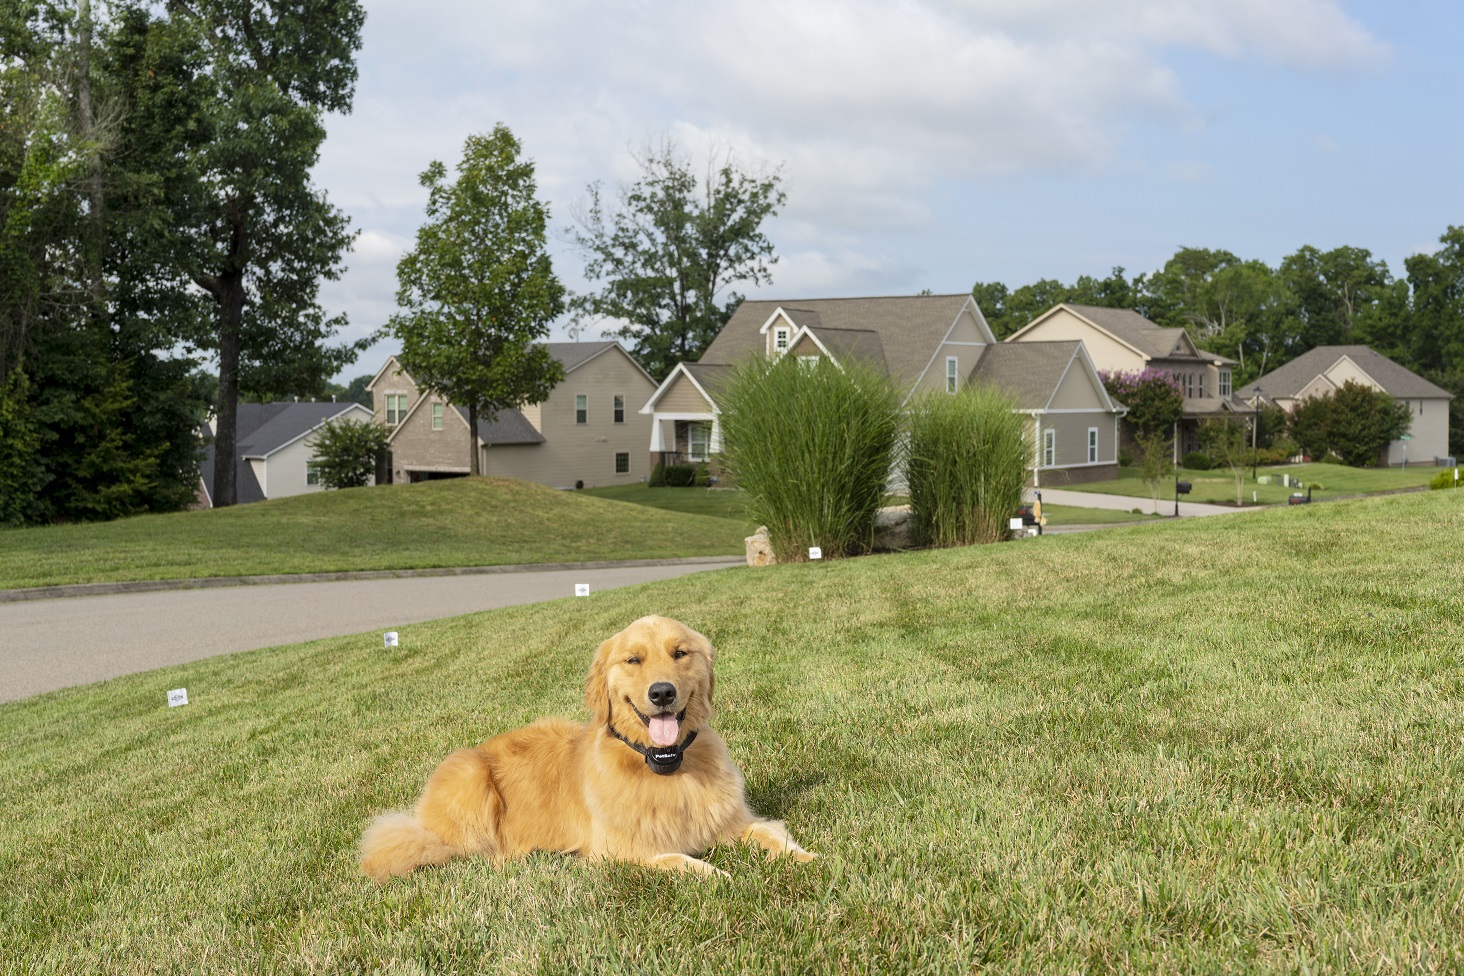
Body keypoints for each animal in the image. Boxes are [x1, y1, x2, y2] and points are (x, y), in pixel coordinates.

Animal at [354, 614, 813, 883]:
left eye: (680, 653)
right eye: (633, 660)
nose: (662, 692)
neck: (662, 764)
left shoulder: (734, 821)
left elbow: (770, 834)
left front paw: (809, 859)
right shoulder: (614, 850)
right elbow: (677, 861)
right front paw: (718, 875)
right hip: (470, 778)